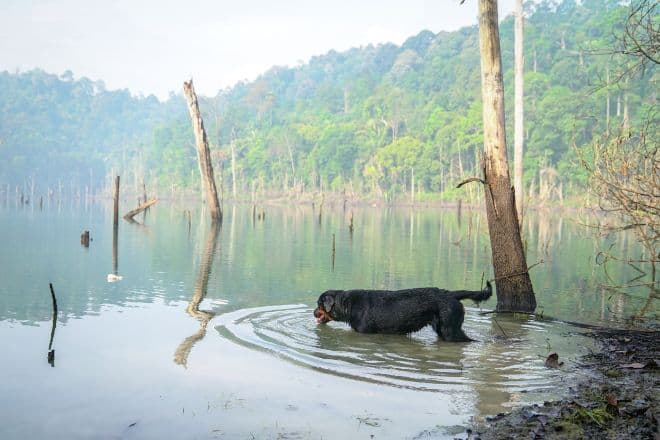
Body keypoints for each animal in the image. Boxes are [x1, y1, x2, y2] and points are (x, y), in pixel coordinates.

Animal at [314, 282, 490, 344]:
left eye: (319, 304)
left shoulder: (365, 332)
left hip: (450, 330)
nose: (314, 312)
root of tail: (451, 294)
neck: (348, 305)